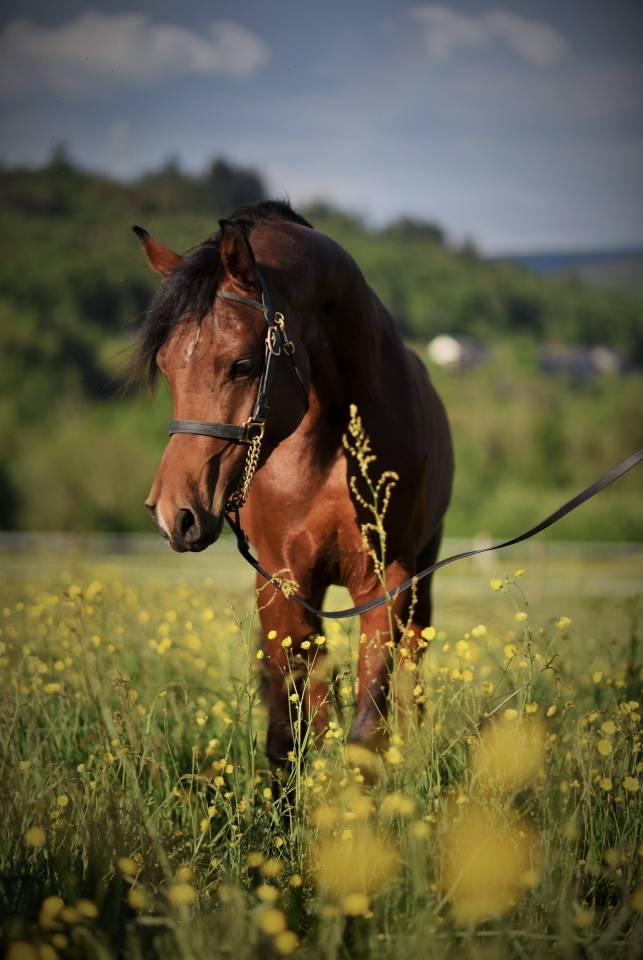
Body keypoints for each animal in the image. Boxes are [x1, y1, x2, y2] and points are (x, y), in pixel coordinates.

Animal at [132, 201, 454, 765]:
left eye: (242, 364)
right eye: (167, 367)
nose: (174, 514)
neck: (332, 442)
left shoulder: (389, 580)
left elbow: (367, 725)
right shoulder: (283, 581)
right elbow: (293, 726)